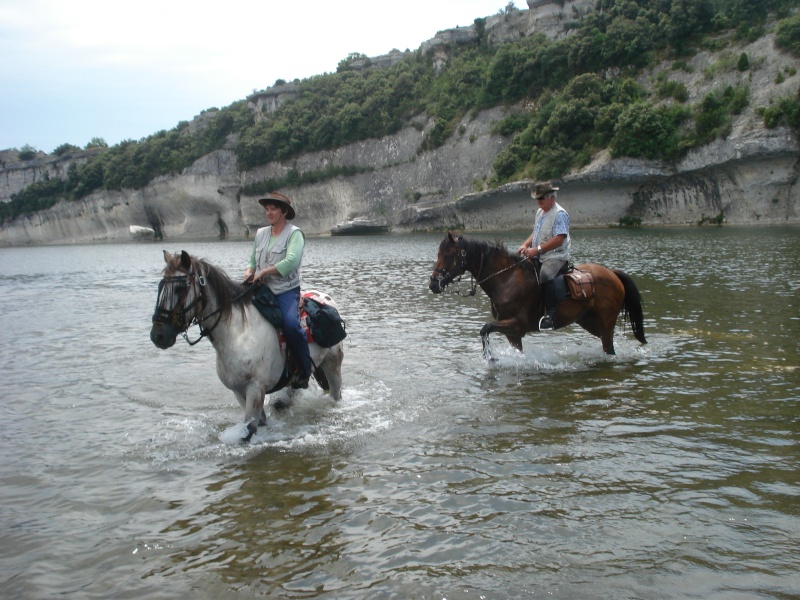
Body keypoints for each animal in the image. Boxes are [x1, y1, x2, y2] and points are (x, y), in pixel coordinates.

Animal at [150, 248, 344, 440]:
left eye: (179, 288)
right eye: (160, 287)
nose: (158, 336)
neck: (238, 334)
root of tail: (325, 298)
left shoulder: (255, 389)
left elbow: (248, 430)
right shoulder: (239, 391)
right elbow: (257, 424)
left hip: (332, 364)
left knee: (335, 394)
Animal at [428, 232, 648, 356]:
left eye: (448, 255)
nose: (433, 283)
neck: (506, 279)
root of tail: (612, 273)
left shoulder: (517, 324)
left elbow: (485, 329)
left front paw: (491, 358)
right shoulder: (513, 333)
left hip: (606, 321)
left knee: (609, 348)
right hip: (590, 321)